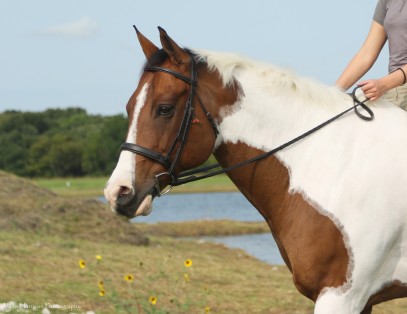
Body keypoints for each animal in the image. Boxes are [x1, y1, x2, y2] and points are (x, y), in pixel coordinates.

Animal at [105, 27, 407, 314]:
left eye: (164, 109)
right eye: (129, 107)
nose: (117, 192)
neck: (327, 161)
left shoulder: (342, 297)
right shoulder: (356, 300)